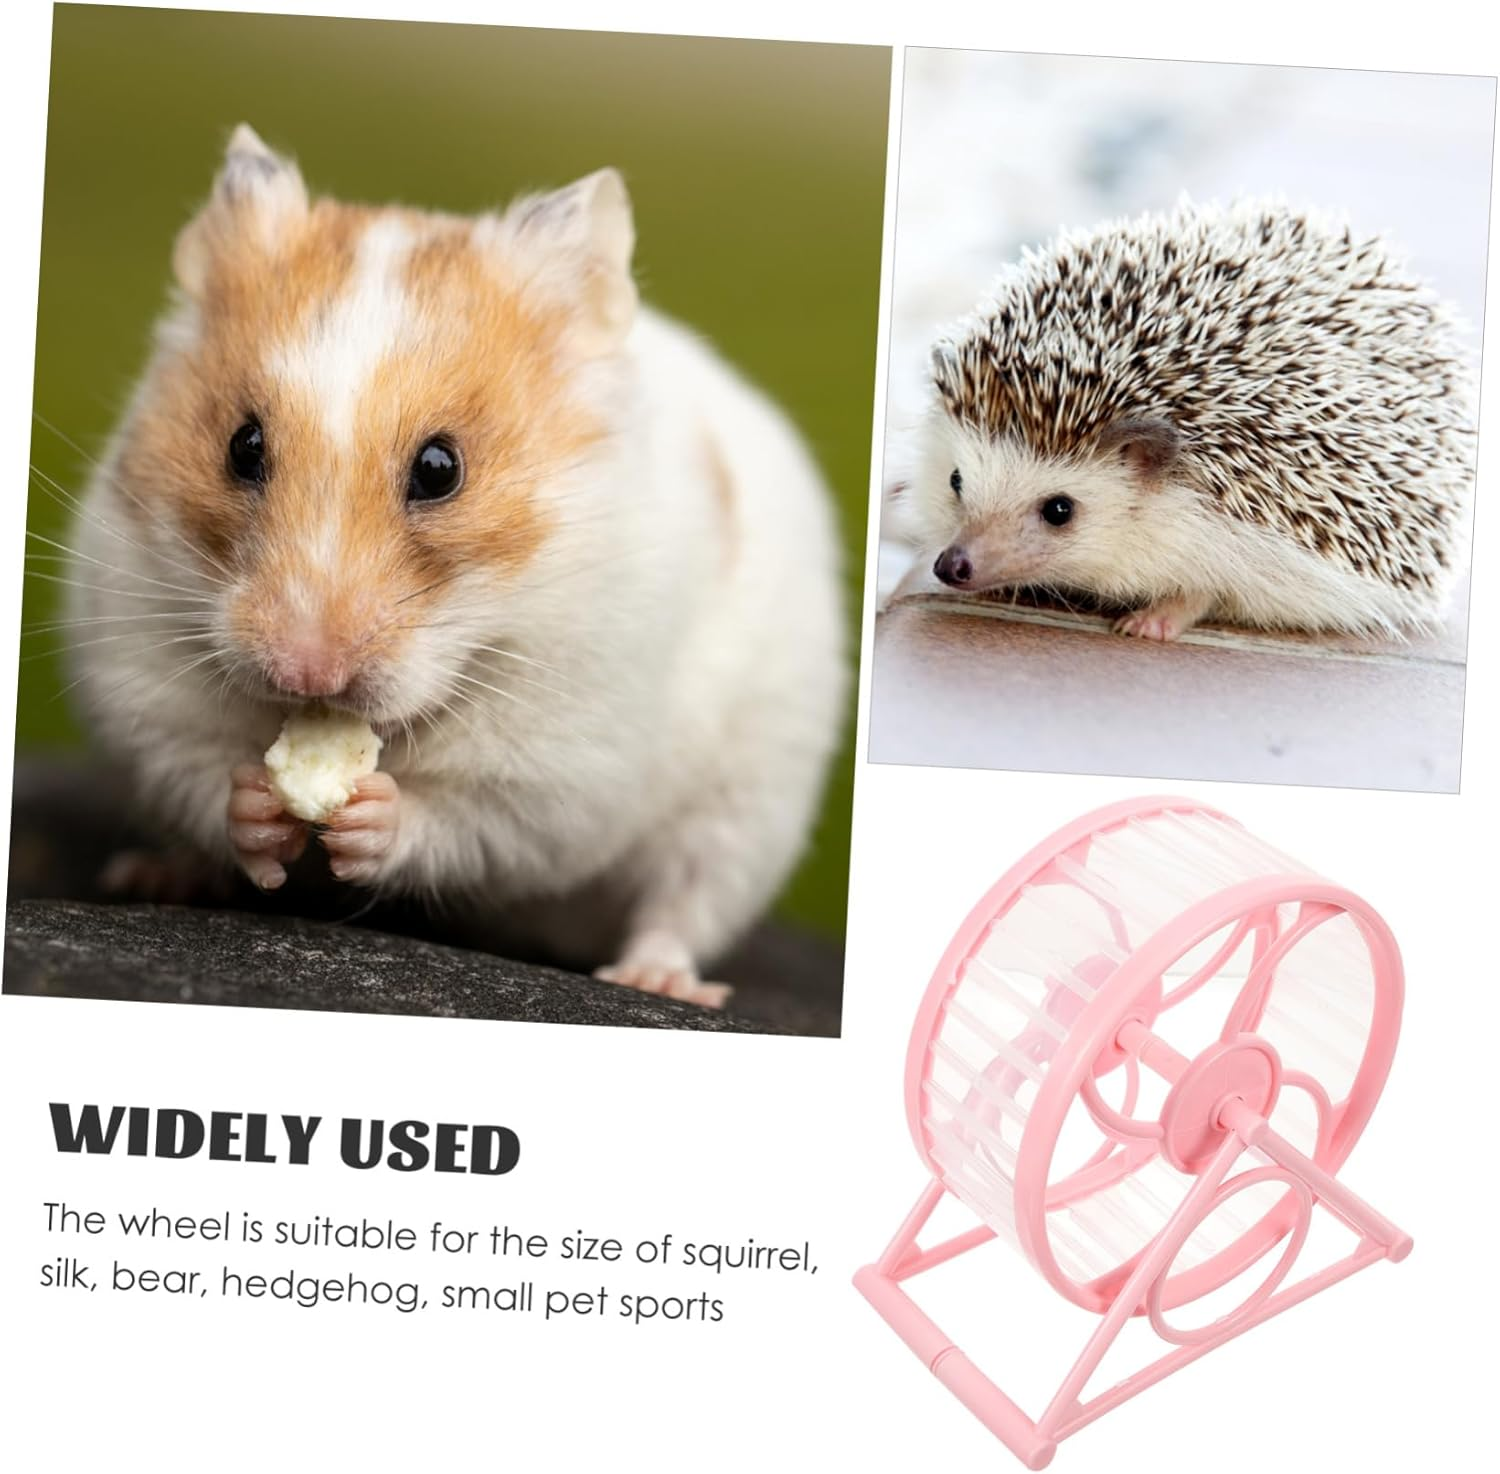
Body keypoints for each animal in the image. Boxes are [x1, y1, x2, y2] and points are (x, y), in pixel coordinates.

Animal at [63, 125, 846, 1009]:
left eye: (441, 469)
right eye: (243, 446)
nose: (306, 673)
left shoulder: (559, 768)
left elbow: (464, 821)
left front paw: (369, 813)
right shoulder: (143, 684)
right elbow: (198, 774)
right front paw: (259, 803)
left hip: (748, 804)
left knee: (684, 900)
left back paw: (660, 980)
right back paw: (152, 875)